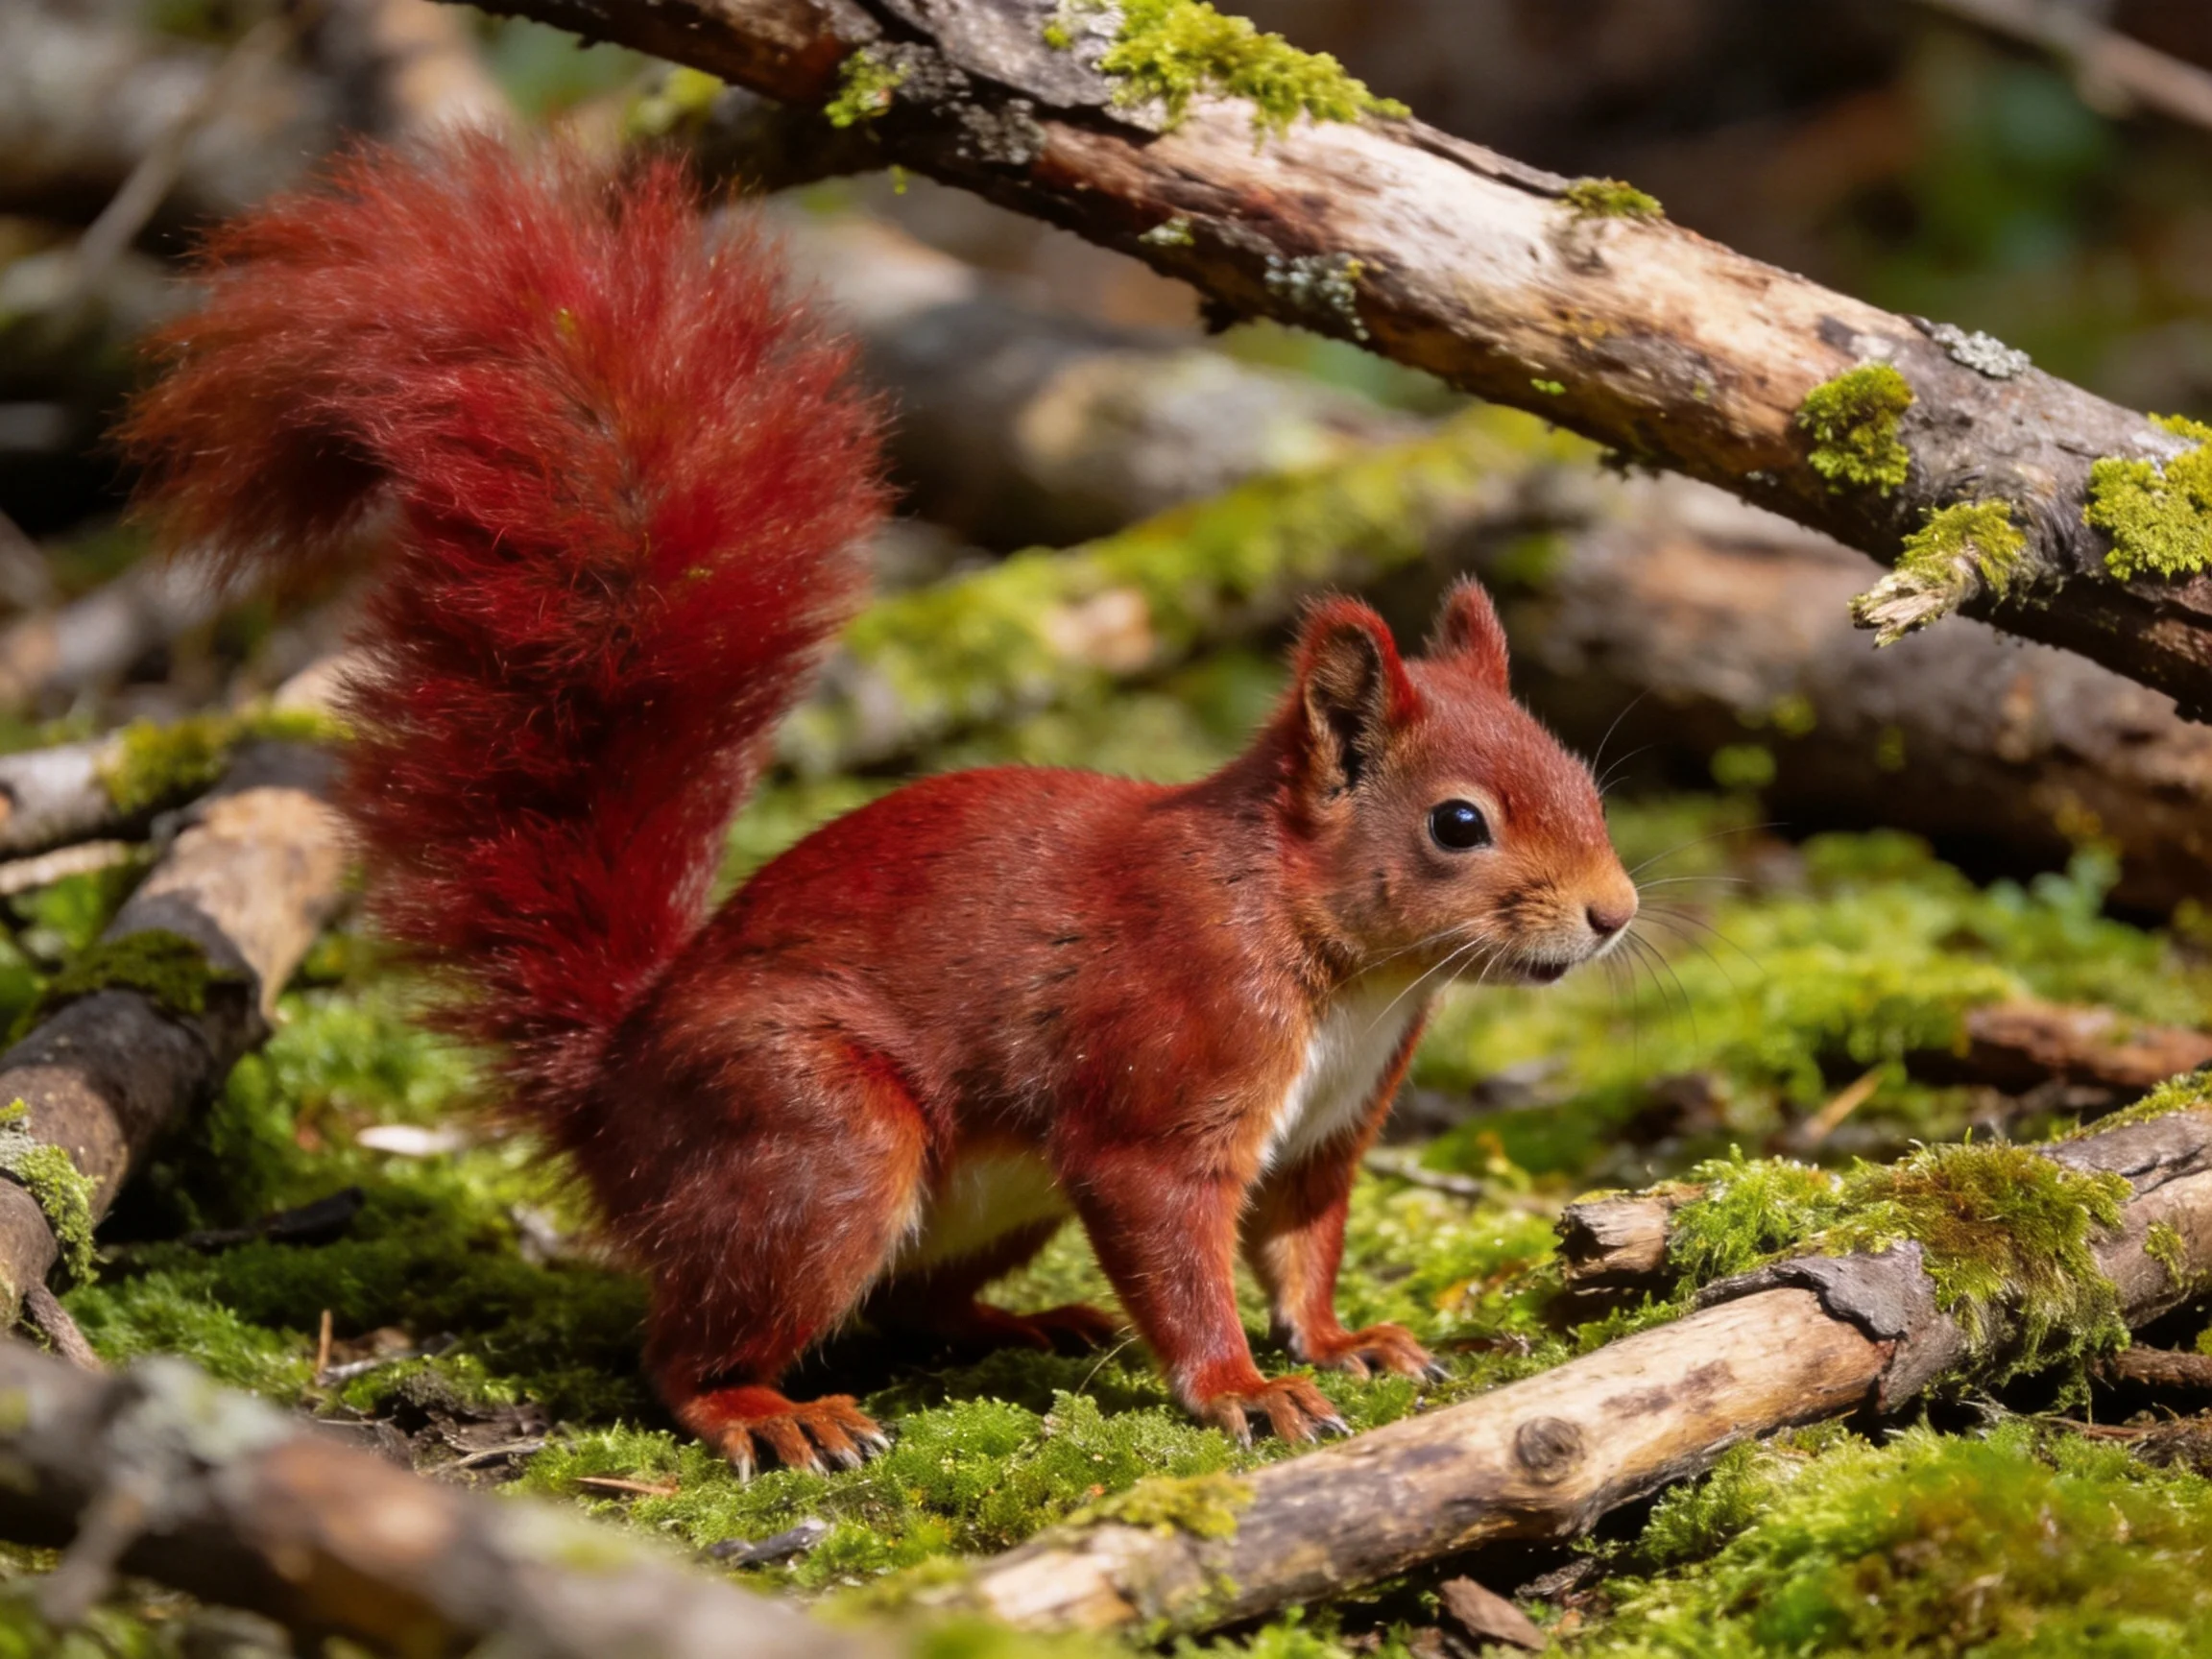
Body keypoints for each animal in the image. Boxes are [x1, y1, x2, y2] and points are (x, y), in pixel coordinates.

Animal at [121, 137, 1639, 1476]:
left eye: (1583, 779)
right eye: (1458, 825)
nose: (1616, 916)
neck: (1339, 957)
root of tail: (608, 1091)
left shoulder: (1328, 1132)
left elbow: (1302, 1243)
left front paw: (1342, 1342)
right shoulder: (1161, 1086)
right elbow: (1180, 1248)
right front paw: (1240, 1389)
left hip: (972, 1196)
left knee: (909, 1306)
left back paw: (1031, 1322)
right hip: (822, 1144)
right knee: (678, 1352)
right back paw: (768, 1413)